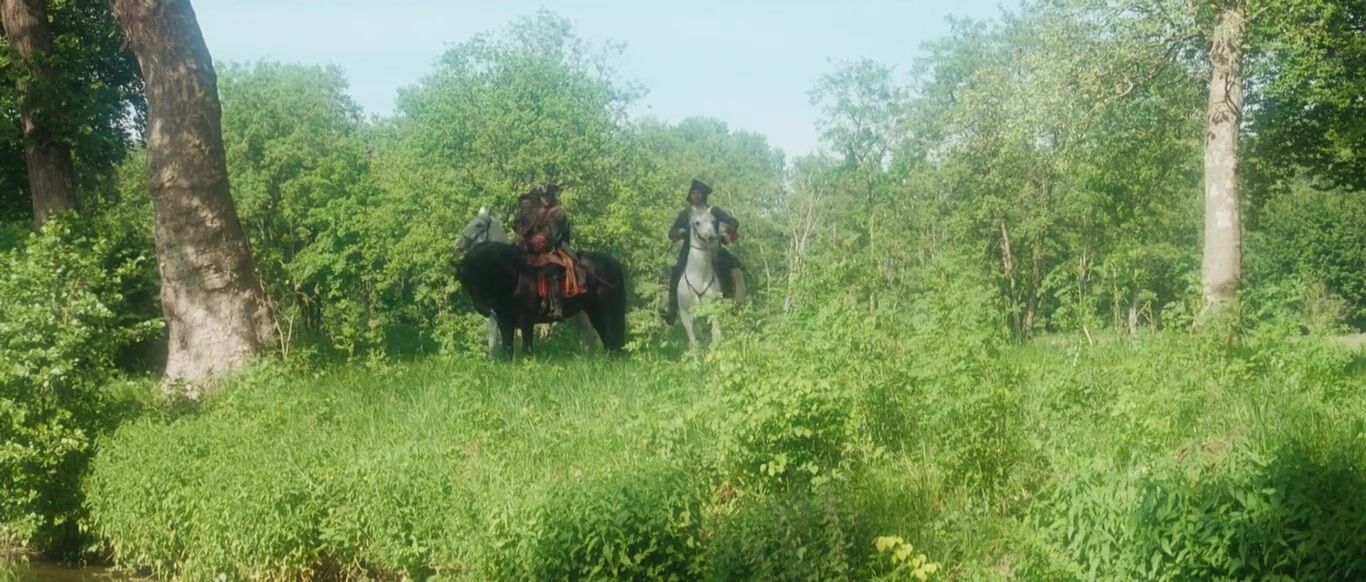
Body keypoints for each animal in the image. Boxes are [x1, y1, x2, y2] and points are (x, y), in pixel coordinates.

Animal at [677, 206, 726, 349]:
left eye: (713, 221)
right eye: (697, 223)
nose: (712, 238)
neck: (699, 277)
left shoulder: (713, 309)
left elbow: (716, 334)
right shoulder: (685, 314)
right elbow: (693, 339)